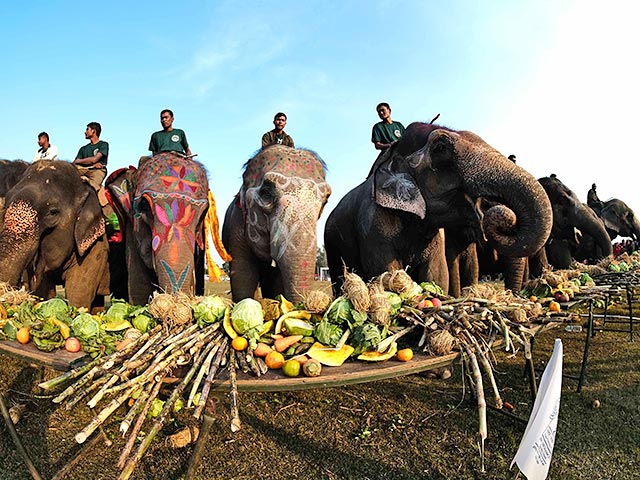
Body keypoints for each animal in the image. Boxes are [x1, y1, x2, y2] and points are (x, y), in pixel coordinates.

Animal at [322, 122, 552, 294]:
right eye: (441, 148)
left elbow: (438, 275)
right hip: (331, 244)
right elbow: (384, 272)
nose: (506, 217)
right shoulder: (374, 225)